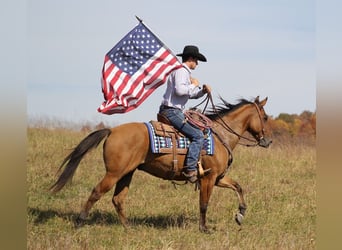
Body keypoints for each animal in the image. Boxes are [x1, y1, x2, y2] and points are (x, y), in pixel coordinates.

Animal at [49, 95, 272, 232]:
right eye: (265, 117)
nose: (268, 141)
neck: (219, 137)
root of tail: (112, 131)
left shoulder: (218, 177)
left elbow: (238, 187)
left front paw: (240, 214)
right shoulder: (208, 178)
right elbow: (204, 203)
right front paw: (204, 229)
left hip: (127, 173)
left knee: (118, 199)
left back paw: (129, 227)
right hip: (114, 173)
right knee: (96, 192)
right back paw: (80, 222)